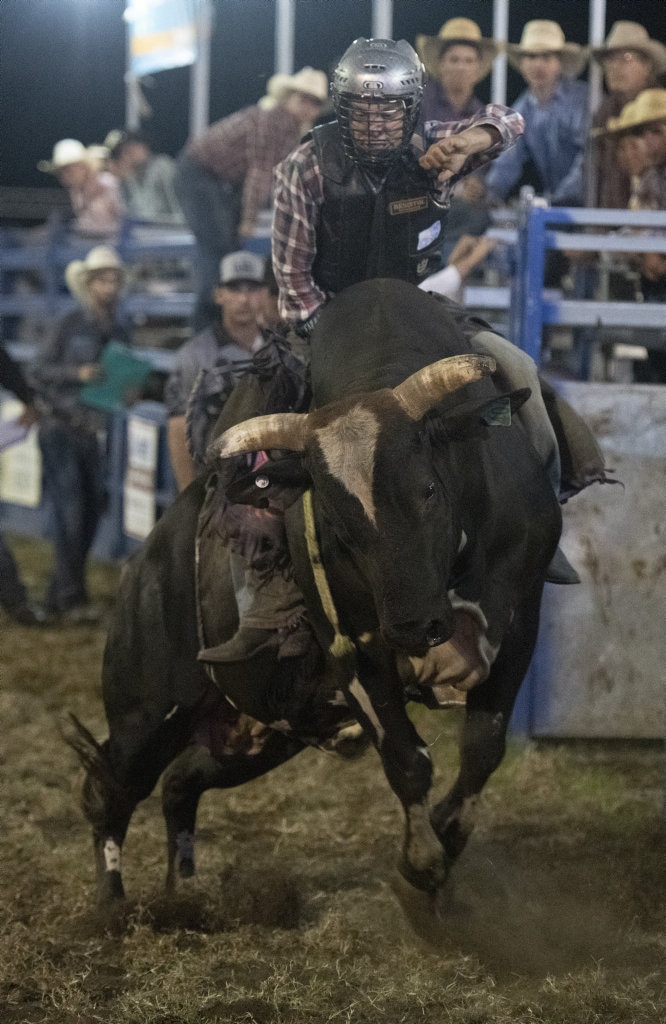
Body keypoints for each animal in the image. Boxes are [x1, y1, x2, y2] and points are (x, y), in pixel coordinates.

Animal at [67, 278, 573, 921]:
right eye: (334, 520)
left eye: (429, 490)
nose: (414, 625)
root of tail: (144, 563)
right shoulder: (352, 646)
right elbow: (408, 759)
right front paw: (420, 866)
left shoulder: (520, 620)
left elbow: (482, 749)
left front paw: (445, 841)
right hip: (147, 709)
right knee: (111, 785)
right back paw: (111, 907)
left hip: (262, 730)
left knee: (181, 782)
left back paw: (184, 893)